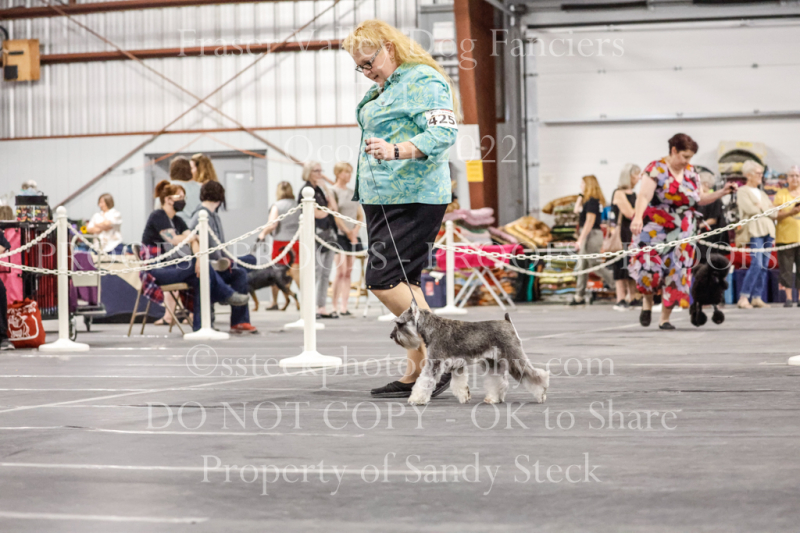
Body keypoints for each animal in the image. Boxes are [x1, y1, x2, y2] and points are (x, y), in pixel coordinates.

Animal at [390, 300, 549, 406]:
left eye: (399, 323)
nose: (392, 336)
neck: (432, 327)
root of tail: (507, 322)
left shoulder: (434, 363)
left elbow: (424, 381)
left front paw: (416, 399)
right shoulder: (457, 365)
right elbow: (460, 384)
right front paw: (464, 397)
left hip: (514, 358)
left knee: (535, 375)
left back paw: (541, 394)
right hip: (494, 363)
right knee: (498, 381)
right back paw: (493, 399)